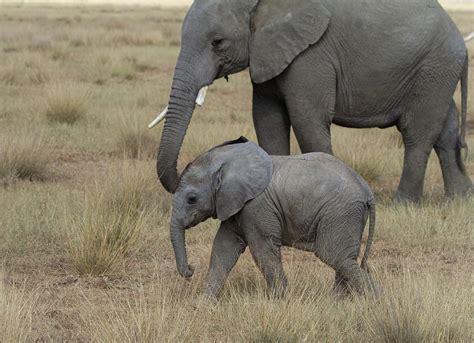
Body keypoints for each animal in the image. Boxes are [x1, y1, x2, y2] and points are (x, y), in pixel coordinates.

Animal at [154, 0, 472, 203]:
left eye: (217, 42)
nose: (186, 171)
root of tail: (459, 37)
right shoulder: (269, 52)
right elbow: (268, 120)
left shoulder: (311, 54)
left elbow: (307, 120)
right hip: (436, 73)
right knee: (445, 132)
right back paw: (459, 200)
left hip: (434, 68)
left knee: (418, 134)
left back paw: (404, 203)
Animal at [168, 137, 376, 300]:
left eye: (191, 199)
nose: (191, 269)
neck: (230, 161)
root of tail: (367, 190)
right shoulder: (236, 204)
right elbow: (224, 247)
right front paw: (201, 304)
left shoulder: (256, 207)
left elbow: (262, 249)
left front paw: (280, 300)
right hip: (347, 215)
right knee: (344, 259)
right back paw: (338, 303)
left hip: (340, 213)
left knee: (335, 256)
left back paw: (375, 301)